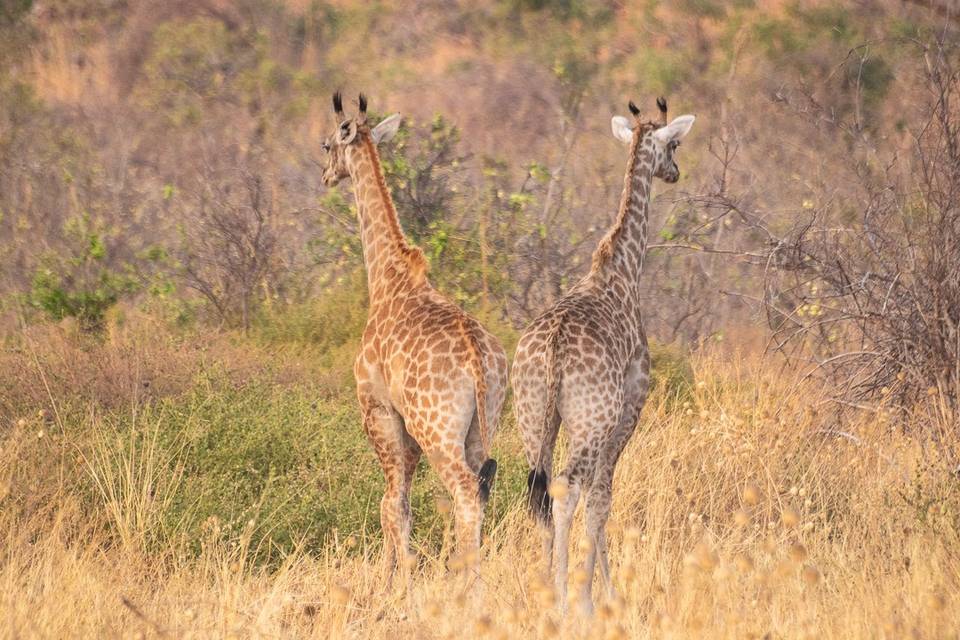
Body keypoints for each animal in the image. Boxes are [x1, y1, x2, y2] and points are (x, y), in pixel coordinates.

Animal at [320, 92, 510, 584]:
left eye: (326, 145)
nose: (326, 175)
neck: (387, 277)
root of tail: (479, 361)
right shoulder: (405, 422)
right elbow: (399, 502)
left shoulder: (379, 410)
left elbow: (392, 503)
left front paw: (392, 579)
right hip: (481, 426)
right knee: (479, 489)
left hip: (437, 430)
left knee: (464, 491)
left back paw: (466, 582)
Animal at [512, 96, 692, 616]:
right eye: (674, 144)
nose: (675, 173)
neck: (623, 269)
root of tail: (551, 353)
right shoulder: (629, 409)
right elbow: (603, 499)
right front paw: (602, 595)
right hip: (589, 422)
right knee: (568, 489)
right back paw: (566, 599)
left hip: (531, 418)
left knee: (539, 493)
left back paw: (546, 589)